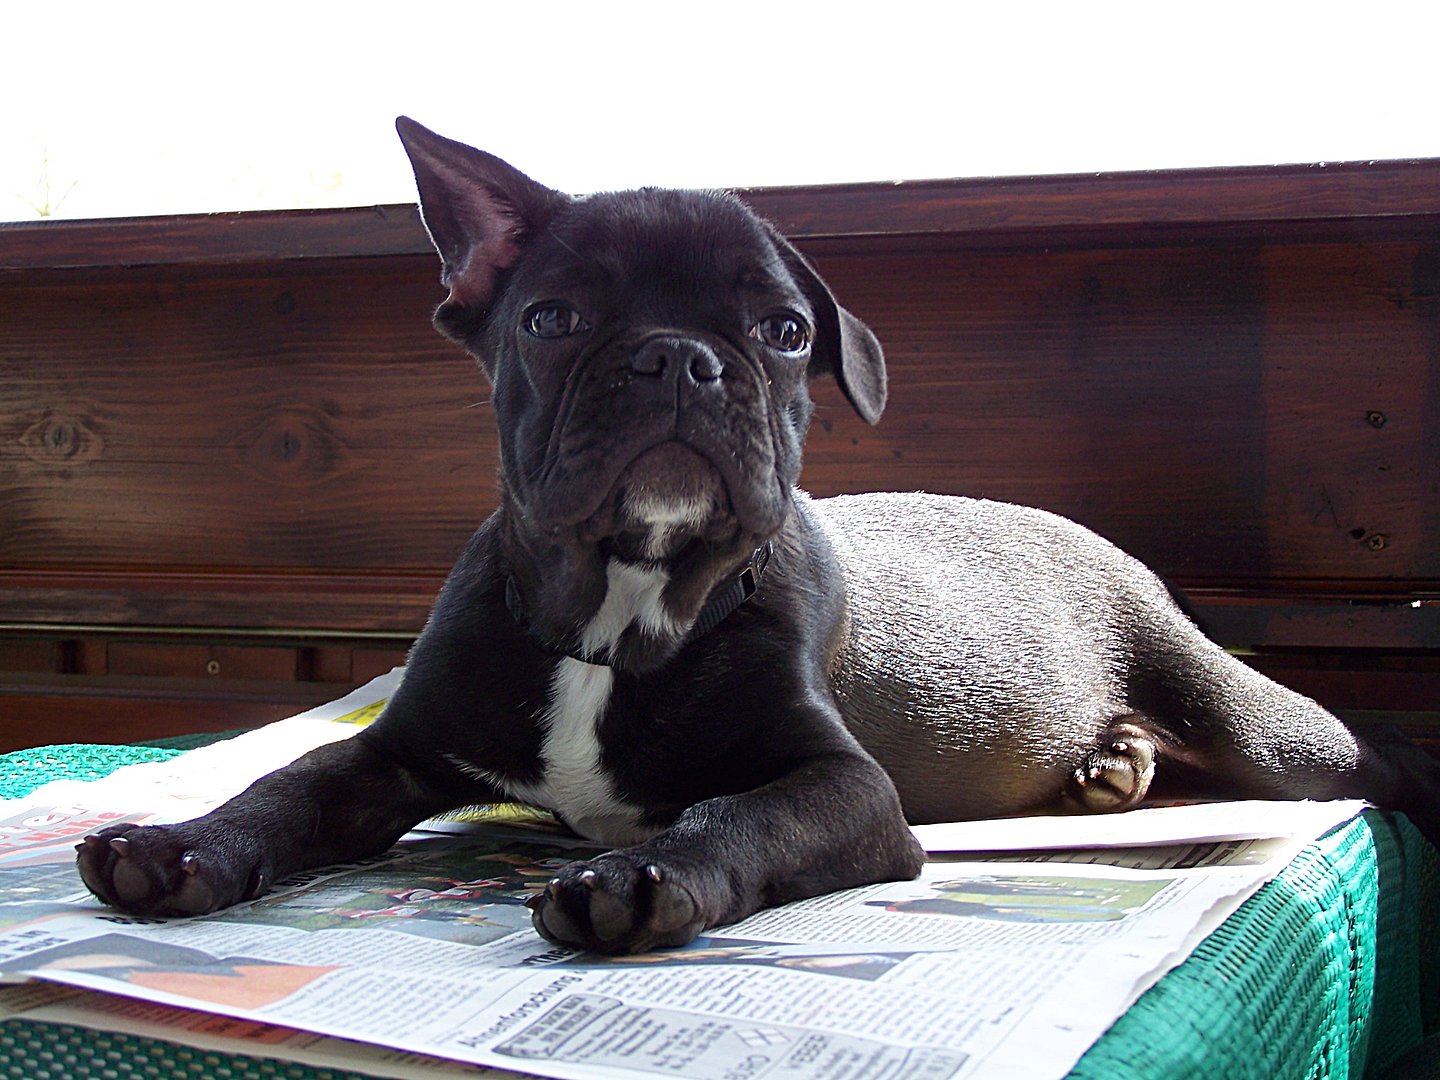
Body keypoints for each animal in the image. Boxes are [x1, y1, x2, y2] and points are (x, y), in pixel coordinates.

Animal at [75, 118, 1440, 956]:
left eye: (785, 334)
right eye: (553, 318)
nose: (681, 357)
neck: (621, 607)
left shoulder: (840, 787)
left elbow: (737, 816)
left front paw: (639, 881)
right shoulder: (398, 755)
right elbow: (293, 782)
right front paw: (180, 845)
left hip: (1268, 729)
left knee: (1359, 761)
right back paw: (1113, 770)